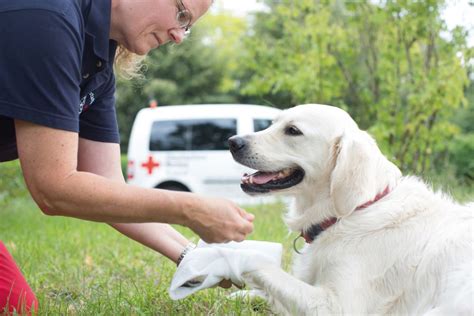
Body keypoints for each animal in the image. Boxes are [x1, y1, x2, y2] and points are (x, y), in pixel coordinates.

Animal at [228, 104, 472, 316]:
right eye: (273, 123)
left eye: (293, 131)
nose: (233, 142)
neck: (352, 211)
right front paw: (240, 295)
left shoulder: (337, 306)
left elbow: (264, 267)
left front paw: (232, 255)